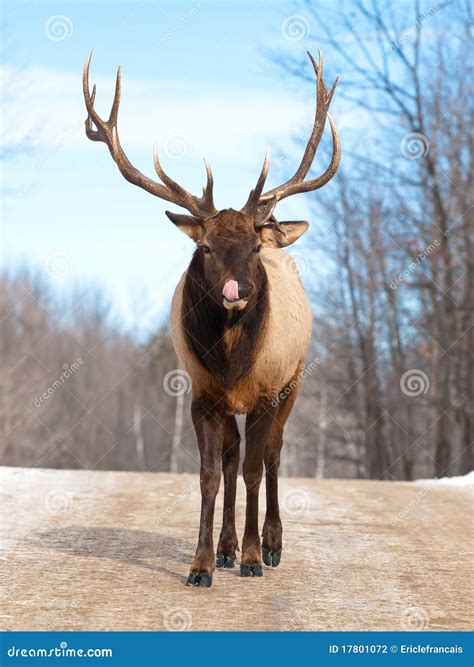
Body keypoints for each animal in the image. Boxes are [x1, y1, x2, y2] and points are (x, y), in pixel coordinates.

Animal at [82, 51, 340, 584]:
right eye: (204, 247)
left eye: (254, 247)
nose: (237, 290)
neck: (232, 362)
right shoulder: (202, 394)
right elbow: (208, 474)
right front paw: (202, 564)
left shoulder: (267, 391)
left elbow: (257, 470)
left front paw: (253, 558)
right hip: (231, 403)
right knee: (232, 456)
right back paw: (225, 548)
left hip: (296, 379)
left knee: (273, 453)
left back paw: (272, 544)